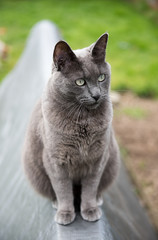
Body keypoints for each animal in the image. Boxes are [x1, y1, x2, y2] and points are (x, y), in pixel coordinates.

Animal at [22, 33, 119, 225]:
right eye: (80, 82)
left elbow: (90, 188)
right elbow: (63, 190)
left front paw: (90, 210)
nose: (97, 95)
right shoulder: (55, 160)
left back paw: (98, 200)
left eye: (101, 78)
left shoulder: (98, 158)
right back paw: (56, 203)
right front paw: (65, 213)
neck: (83, 121)